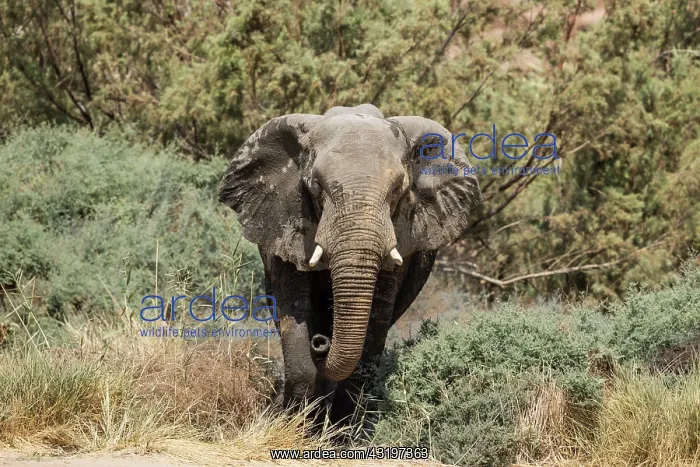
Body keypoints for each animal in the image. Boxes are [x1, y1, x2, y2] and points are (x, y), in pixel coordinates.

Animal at [218, 103, 481, 424]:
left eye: (398, 190)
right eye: (315, 187)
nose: (322, 342)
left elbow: (375, 321)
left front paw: (343, 431)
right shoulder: (287, 222)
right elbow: (295, 309)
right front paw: (296, 426)